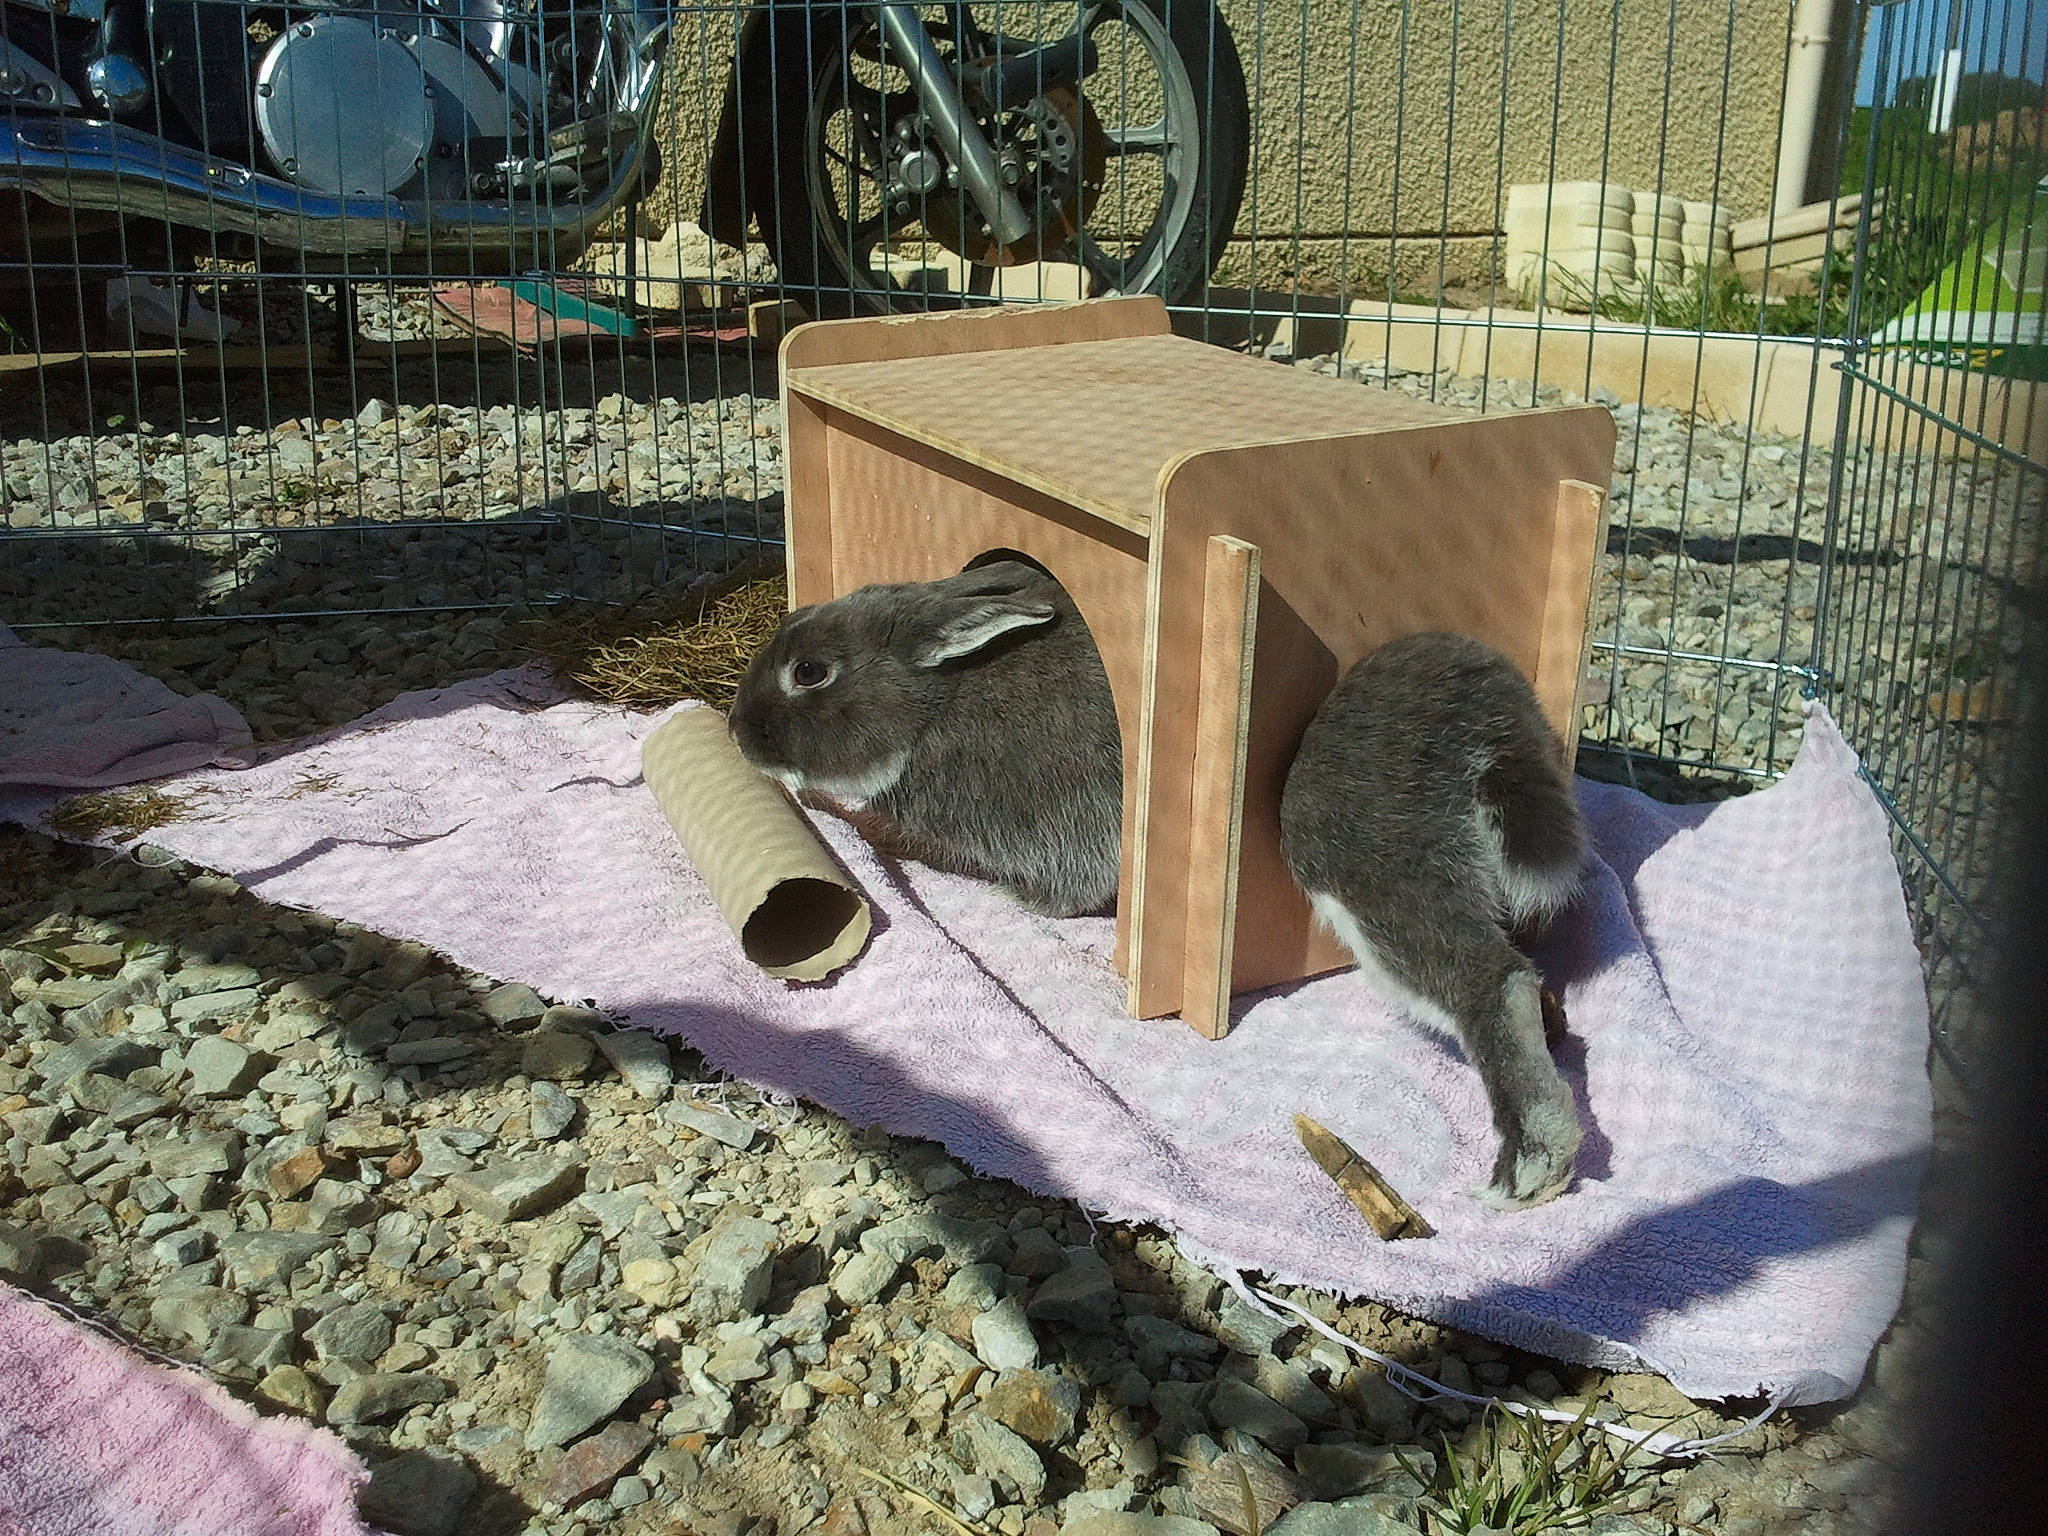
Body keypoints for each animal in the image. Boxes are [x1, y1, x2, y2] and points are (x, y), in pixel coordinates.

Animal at [726, 560, 1124, 918]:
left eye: (809, 671)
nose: (734, 729)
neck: (935, 712)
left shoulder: (1072, 823)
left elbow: (1076, 890)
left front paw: (1017, 897)